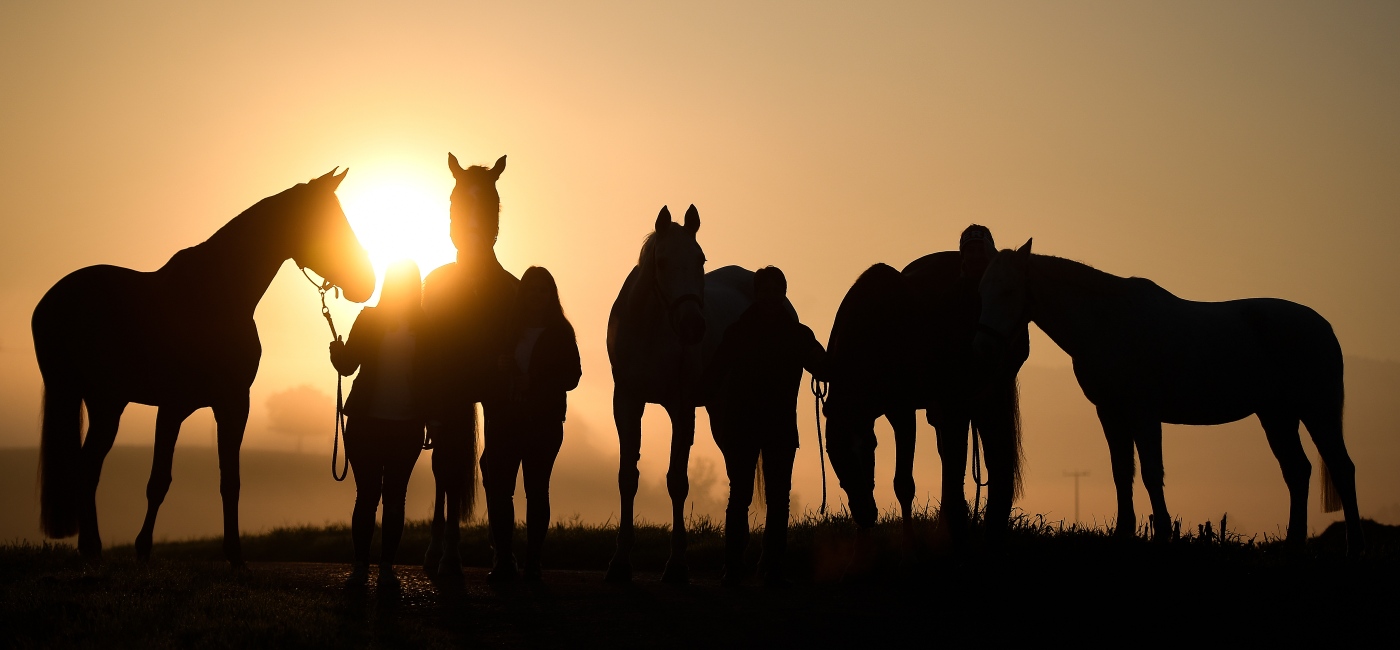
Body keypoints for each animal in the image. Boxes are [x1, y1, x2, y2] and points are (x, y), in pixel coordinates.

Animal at [36, 167, 378, 563]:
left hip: (100, 401)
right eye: (327, 223)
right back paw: (92, 550)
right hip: (100, 401)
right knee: (87, 468)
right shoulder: (172, 406)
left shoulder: (233, 403)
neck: (217, 298)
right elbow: (159, 481)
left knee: (87, 468)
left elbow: (230, 480)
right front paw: (143, 550)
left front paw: (234, 554)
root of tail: (50, 299)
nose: (367, 282)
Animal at [817, 250, 1030, 551]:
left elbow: (904, 483)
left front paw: (908, 540)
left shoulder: (902, 411)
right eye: (835, 456)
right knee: (948, 458)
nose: (866, 514)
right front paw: (863, 543)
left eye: (868, 450)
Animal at [980, 240, 1360, 554]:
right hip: (1277, 415)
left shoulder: (1144, 413)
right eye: (983, 289)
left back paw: (1353, 546)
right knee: (1297, 470)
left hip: (1318, 411)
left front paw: (1162, 533)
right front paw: (1124, 532)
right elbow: (1122, 472)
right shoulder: (1110, 413)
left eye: (1009, 290)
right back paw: (1294, 543)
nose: (985, 349)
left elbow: (1151, 472)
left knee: (1341, 467)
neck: (1109, 322)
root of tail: (1323, 326)